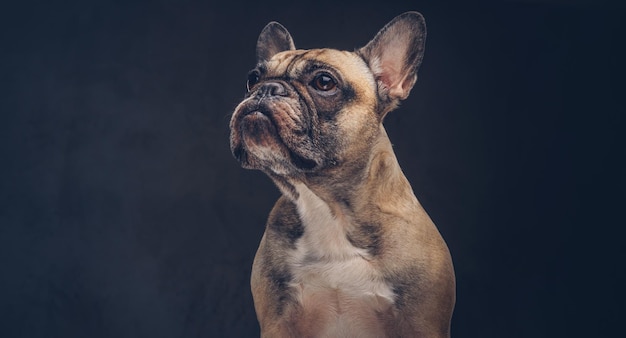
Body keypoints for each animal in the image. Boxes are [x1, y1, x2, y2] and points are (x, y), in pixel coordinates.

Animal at [229, 11, 454, 336]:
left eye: (324, 82)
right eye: (252, 79)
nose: (266, 89)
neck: (326, 206)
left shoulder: (422, 324)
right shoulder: (277, 321)